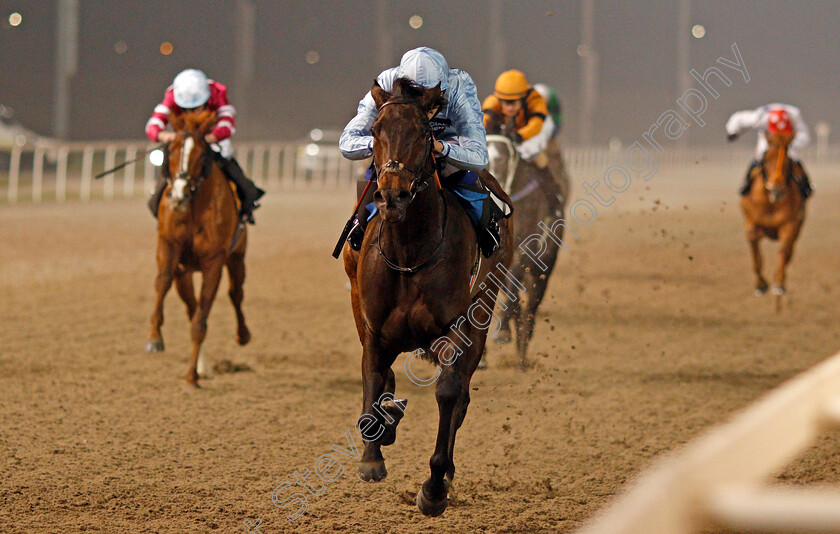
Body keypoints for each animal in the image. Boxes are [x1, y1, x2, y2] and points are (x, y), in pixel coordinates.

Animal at [145, 110, 249, 386]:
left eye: (202, 154)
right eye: (171, 150)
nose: (179, 195)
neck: (192, 209)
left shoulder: (214, 261)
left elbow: (202, 320)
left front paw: (192, 375)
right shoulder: (169, 246)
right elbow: (162, 282)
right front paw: (154, 338)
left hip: (237, 257)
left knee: (235, 294)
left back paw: (242, 335)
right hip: (185, 272)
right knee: (191, 306)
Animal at [342, 77, 512, 516]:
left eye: (424, 135)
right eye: (375, 131)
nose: (393, 196)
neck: (409, 252)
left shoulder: (458, 327)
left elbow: (449, 393)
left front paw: (434, 487)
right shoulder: (372, 325)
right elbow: (373, 375)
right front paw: (373, 454)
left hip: (484, 309)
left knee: (462, 394)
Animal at [740, 131, 808, 312]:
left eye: (788, 161)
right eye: (767, 159)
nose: (776, 189)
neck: (771, 203)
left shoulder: (789, 225)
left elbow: (784, 250)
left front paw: (778, 285)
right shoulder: (752, 223)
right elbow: (755, 252)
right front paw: (760, 285)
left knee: (789, 251)